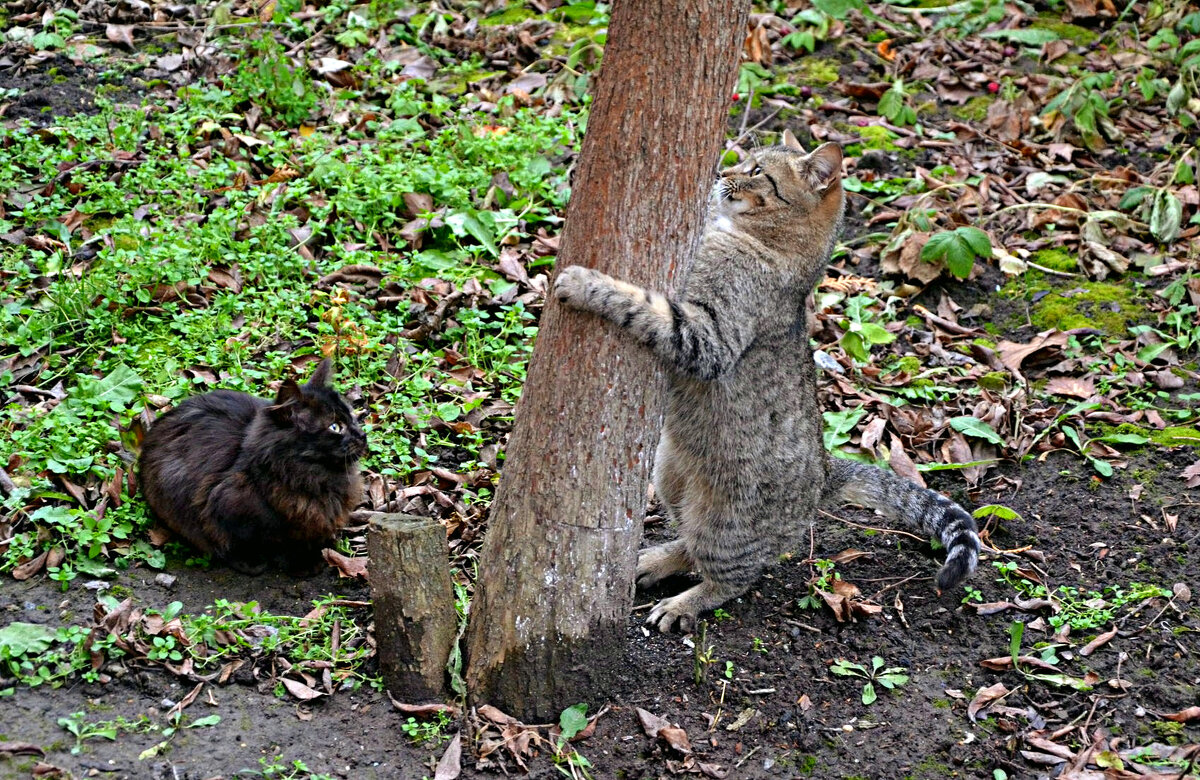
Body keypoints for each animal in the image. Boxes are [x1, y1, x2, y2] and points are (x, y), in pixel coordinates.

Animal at [139, 357, 364, 571]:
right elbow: (254, 544)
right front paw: (296, 562)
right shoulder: (225, 508)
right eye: (335, 427)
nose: (362, 436)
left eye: (352, 417)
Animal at [556, 130, 979, 628]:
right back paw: (655, 560)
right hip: (669, 476)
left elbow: (643, 305)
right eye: (746, 160)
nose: (722, 172)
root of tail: (826, 472)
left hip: (725, 522)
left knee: (731, 576)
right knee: (689, 541)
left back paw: (682, 603)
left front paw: (584, 283)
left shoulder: (708, 338)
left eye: (757, 171)